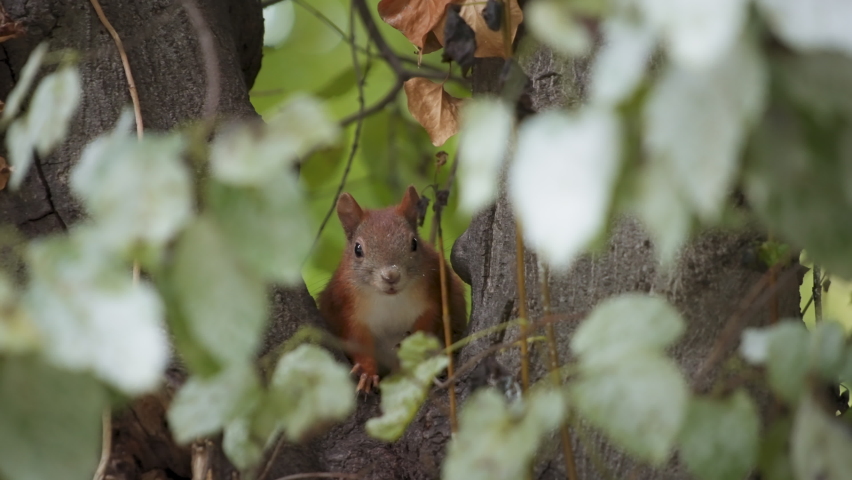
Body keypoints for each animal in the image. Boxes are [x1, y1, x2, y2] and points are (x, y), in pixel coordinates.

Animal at [318, 185, 467, 394]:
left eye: (414, 243)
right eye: (358, 249)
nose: (391, 276)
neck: (389, 299)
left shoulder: (435, 290)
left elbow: (429, 324)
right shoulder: (346, 308)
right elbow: (358, 342)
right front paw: (366, 373)